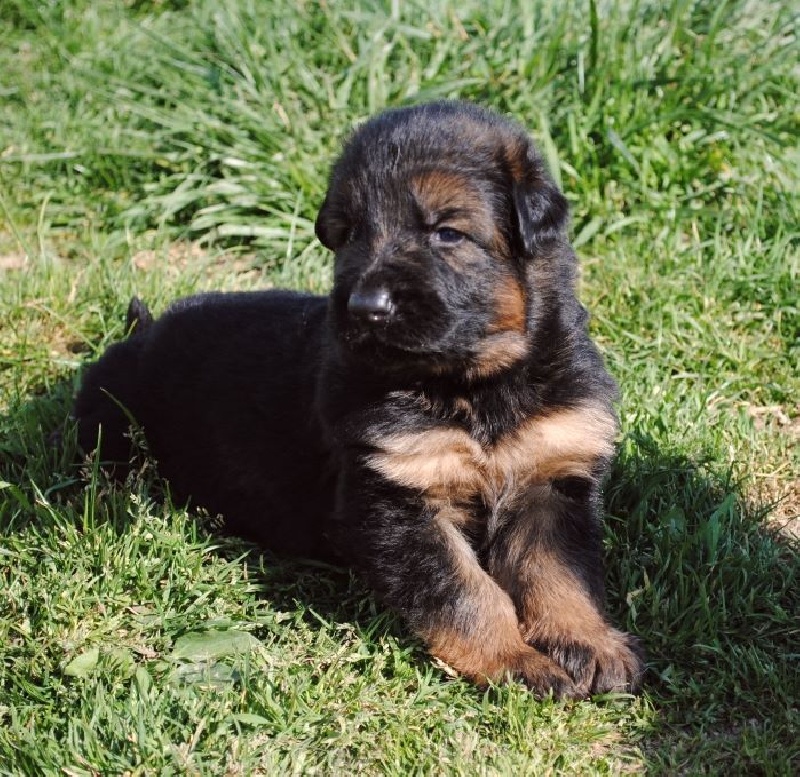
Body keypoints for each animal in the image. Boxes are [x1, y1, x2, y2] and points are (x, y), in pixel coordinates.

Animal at [75, 98, 644, 696]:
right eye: (348, 234)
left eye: (446, 233)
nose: (366, 307)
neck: (475, 388)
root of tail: (143, 332)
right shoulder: (397, 500)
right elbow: (465, 592)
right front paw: (513, 659)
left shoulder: (551, 478)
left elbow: (559, 575)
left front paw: (589, 644)